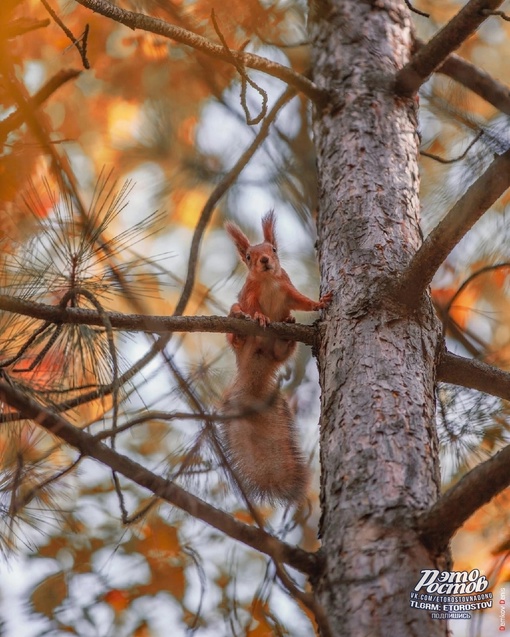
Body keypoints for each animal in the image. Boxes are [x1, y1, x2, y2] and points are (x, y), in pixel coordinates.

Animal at [221, 212, 332, 502]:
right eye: (249, 256)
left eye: (273, 250)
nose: (264, 261)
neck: (268, 281)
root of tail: (254, 363)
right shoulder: (249, 294)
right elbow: (252, 307)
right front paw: (259, 316)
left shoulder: (287, 288)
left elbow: (301, 301)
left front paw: (319, 303)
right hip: (236, 334)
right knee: (236, 326)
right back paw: (239, 328)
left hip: (279, 349)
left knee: (281, 351)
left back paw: (286, 336)